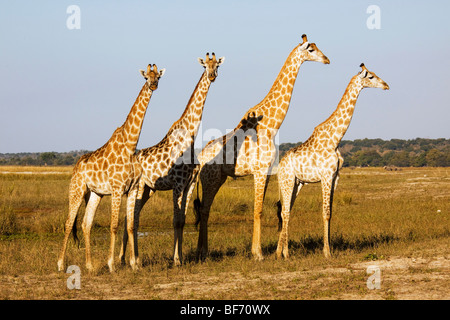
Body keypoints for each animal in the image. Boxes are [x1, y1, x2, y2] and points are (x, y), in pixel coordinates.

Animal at [56, 63, 165, 272]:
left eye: (158, 77)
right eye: (146, 77)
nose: (153, 85)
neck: (130, 145)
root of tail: (75, 167)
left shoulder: (133, 189)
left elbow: (130, 225)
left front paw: (134, 265)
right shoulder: (117, 189)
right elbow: (114, 225)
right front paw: (112, 264)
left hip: (95, 193)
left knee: (86, 224)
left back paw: (89, 265)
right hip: (77, 190)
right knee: (68, 222)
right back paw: (60, 263)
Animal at [118, 53, 224, 268]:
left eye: (217, 65)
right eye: (205, 66)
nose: (212, 75)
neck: (190, 136)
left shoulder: (190, 183)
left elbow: (182, 220)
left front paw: (181, 257)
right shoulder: (178, 183)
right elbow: (175, 220)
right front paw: (176, 260)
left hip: (148, 190)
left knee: (131, 217)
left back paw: (128, 259)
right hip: (139, 187)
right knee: (131, 218)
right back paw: (128, 259)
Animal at [194, 34, 330, 260]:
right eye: (311, 49)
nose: (327, 59)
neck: (272, 125)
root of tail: (200, 157)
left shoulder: (266, 172)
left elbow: (261, 209)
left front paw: (256, 251)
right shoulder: (258, 170)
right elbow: (257, 210)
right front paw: (258, 254)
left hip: (219, 178)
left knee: (204, 209)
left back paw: (202, 252)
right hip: (210, 179)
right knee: (204, 210)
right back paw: (203, 252)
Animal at [276, 63, 388, 260]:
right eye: (371, 77)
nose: (386, 85)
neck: (335, 139)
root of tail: (279, 166)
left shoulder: (335, 177)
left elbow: (331, 212)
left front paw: (330, 249)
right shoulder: (326, 176)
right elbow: (325, 212)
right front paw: (327, 252)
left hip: (297, 183)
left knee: (285, 211)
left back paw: (279, 252)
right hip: (287, 181)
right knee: (286, 212)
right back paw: (286, 254)